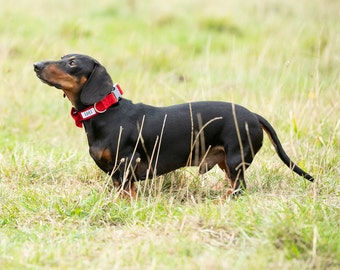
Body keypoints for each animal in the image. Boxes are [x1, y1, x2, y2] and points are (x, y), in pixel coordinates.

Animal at [33, 53, 314, 198]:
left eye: (72, 62)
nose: (36, 65)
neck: (106, 113)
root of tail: (254, 115)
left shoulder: (127, 165)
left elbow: (128, 194)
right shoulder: (116, 174)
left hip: (236, 159)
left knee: (240, 189)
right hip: (226, 162)